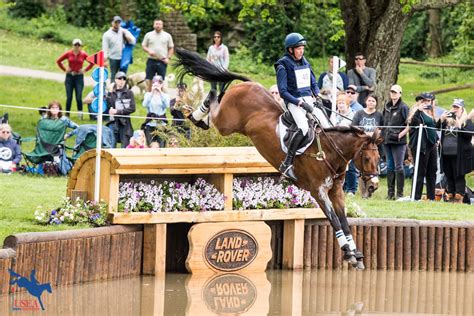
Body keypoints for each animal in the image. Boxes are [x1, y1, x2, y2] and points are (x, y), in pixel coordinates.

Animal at [176, 47, 384, 270]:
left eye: (379, 157)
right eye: (367, 158)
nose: (373, 185)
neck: (330, 151)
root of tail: (248, 84)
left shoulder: (336, 192)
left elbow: (344, 221)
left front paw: (356, 255)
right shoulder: (318, 191)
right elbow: (335, 221)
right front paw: (348, 253)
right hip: (226, 123)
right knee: (215, 101)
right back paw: (197, 114)